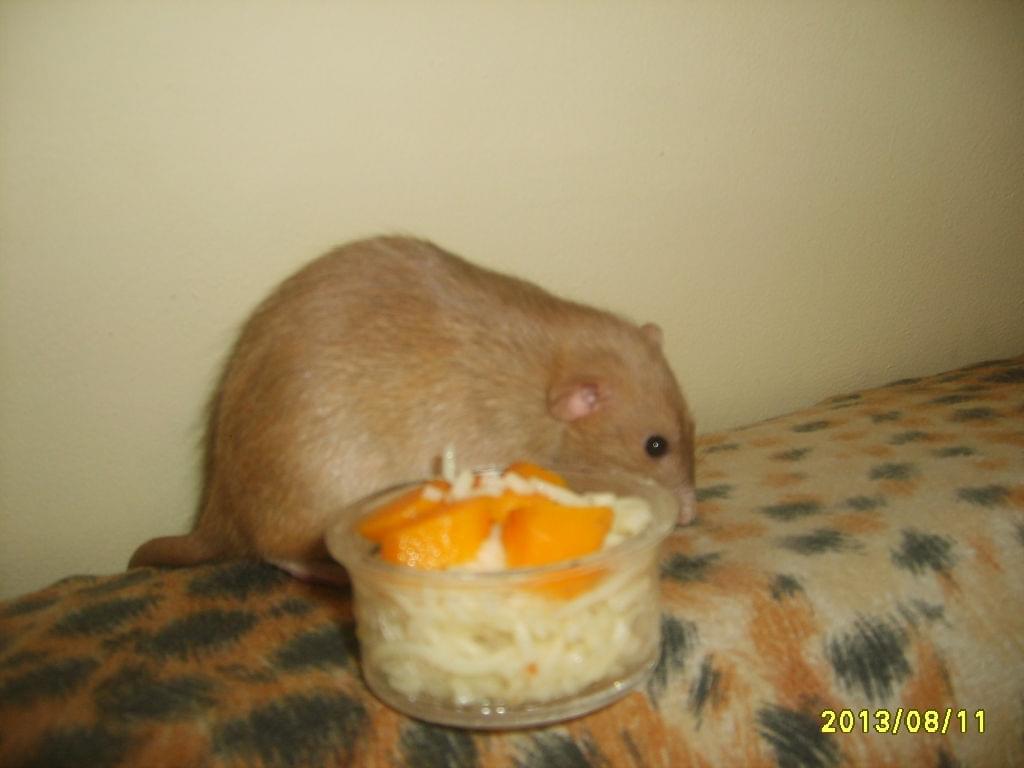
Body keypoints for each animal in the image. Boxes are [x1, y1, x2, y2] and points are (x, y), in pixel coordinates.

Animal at [129, 236, 696, 580]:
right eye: (655, 446)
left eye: (690, 427)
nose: (691, 514)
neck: (545, 379)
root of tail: (220, 512)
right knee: (279, 554)